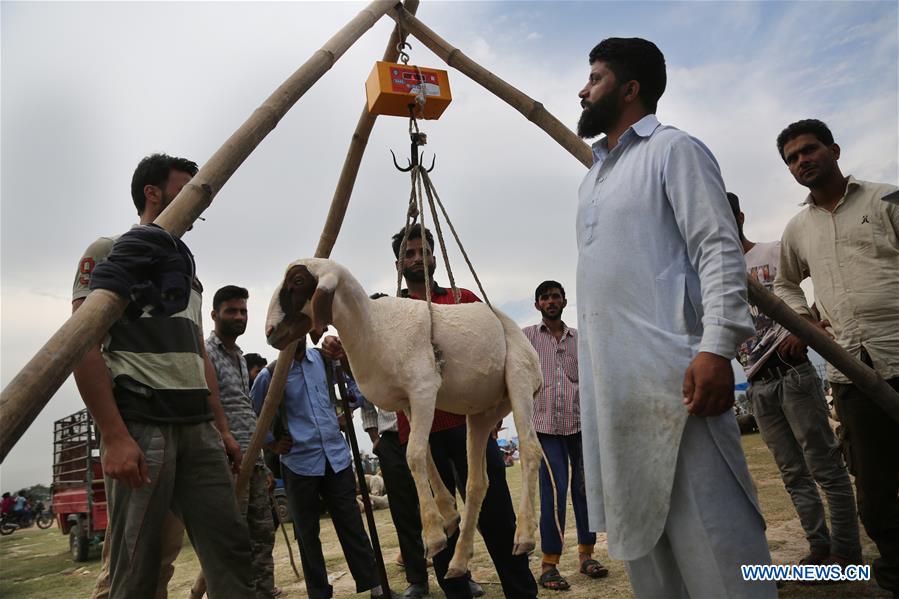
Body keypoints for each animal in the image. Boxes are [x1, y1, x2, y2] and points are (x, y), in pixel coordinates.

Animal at [264, 258, 544, 580]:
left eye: (298, 281)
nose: (270, 332)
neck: (372, 325)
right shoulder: (409, 402)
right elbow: (424, 455)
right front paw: (448, 515)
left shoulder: (424, 389)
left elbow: (414, 455)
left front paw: (433, 537)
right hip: (482, 413)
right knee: (477, 482)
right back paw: (458, 561)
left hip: (520, 379)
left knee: (530, 450)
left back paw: (524, 536)